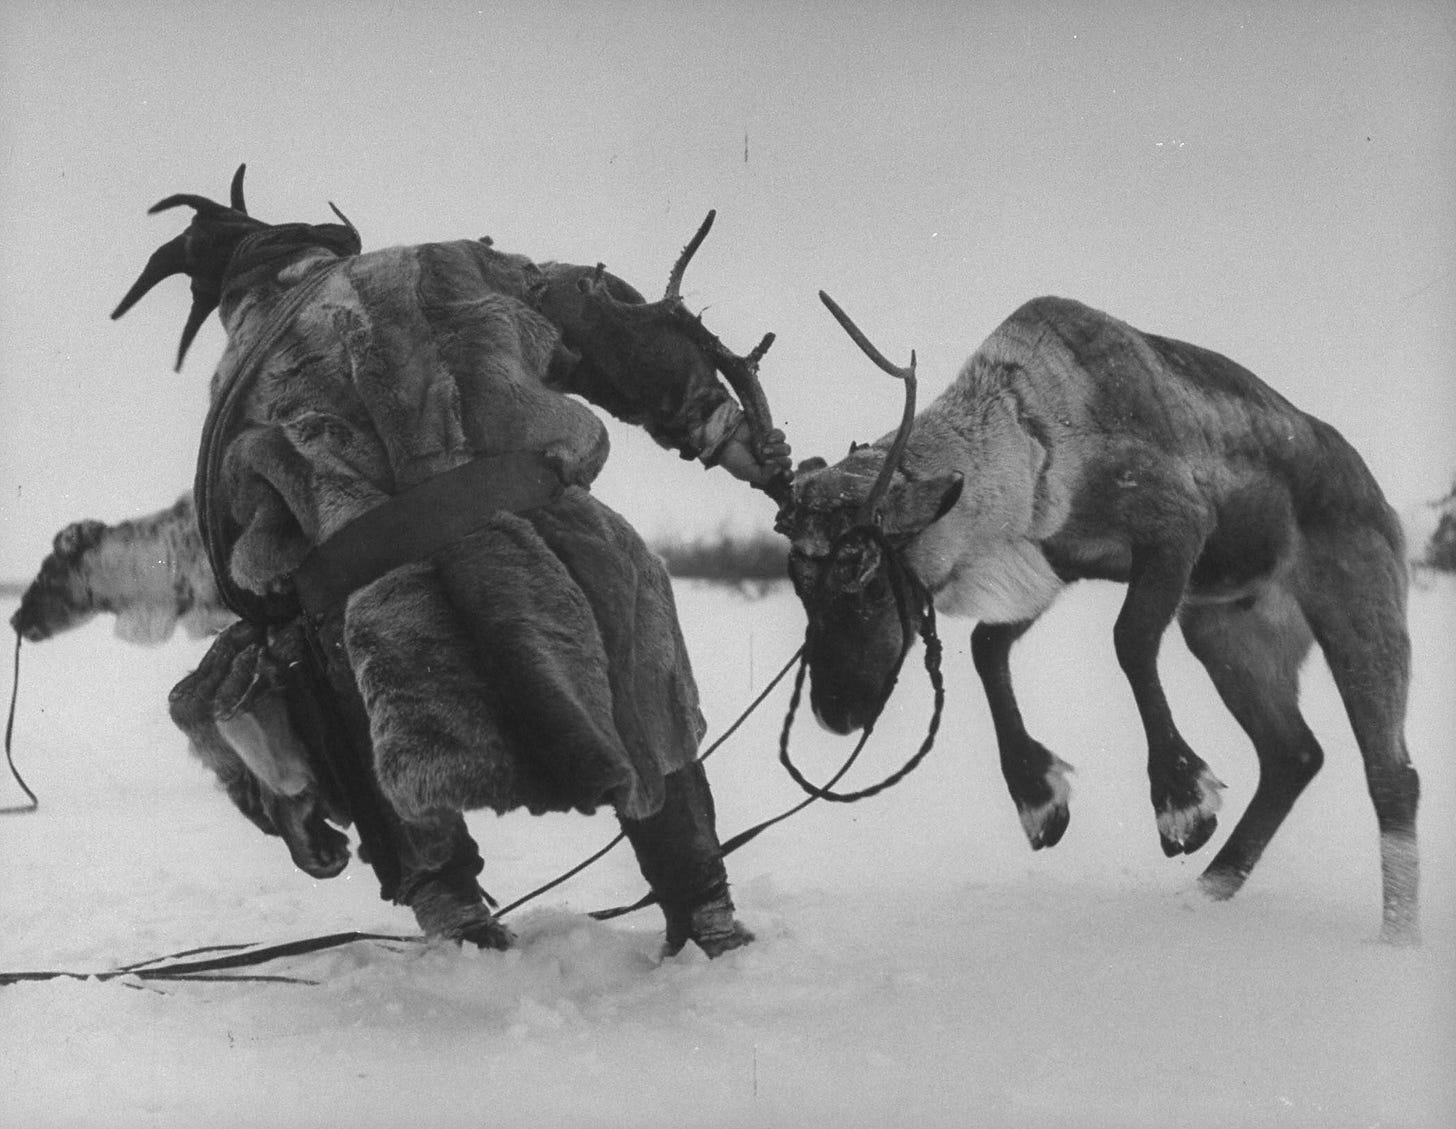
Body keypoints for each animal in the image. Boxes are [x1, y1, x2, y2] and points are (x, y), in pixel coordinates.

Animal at [775, 290, 1420, 944]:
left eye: (872, 581)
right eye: (800, 587)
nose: (835, 713)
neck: (1032, 437)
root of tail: (1379, 496)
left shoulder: (1178, 524)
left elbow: (1128, 639)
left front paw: (1182, 805)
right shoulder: (1061, 563)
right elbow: (987, 648)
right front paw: (1040, 799)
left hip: (1358, 608)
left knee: (1392, 775)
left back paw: (1396, 938)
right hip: (1225, 634)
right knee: (1295, 754)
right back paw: (1206, 893)